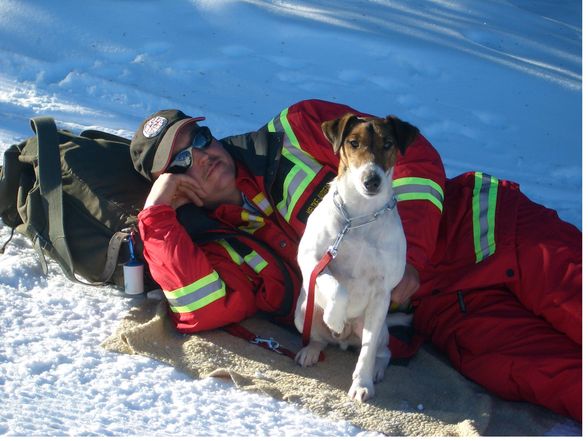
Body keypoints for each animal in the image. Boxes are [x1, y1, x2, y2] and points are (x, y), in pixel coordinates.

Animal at [294, 111, 418, 400]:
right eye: (353, 143)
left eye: (388, 144)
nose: (371, 180)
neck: (359, 218)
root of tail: (344, 340)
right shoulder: (311, 260)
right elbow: (336, 286)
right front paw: (334, 316)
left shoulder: (383, 292)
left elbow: (368, 351)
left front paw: (362, 384)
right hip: (302, 311)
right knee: (318, 338)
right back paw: (312, 349)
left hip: (378, 324)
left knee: (382, 350)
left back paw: (376, 369)